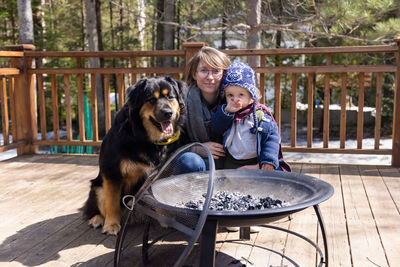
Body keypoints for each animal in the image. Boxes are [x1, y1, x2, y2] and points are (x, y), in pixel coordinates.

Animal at [83, 76, 187, 236]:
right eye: (151, 99)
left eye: (170, 97)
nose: (168, 113)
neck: (145, 137)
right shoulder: (112, 173)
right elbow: (112, 202)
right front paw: (111, 225)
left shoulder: (158, 173)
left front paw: (164, 219)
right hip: (98, 188)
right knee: (96, 207)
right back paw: (98, 219)